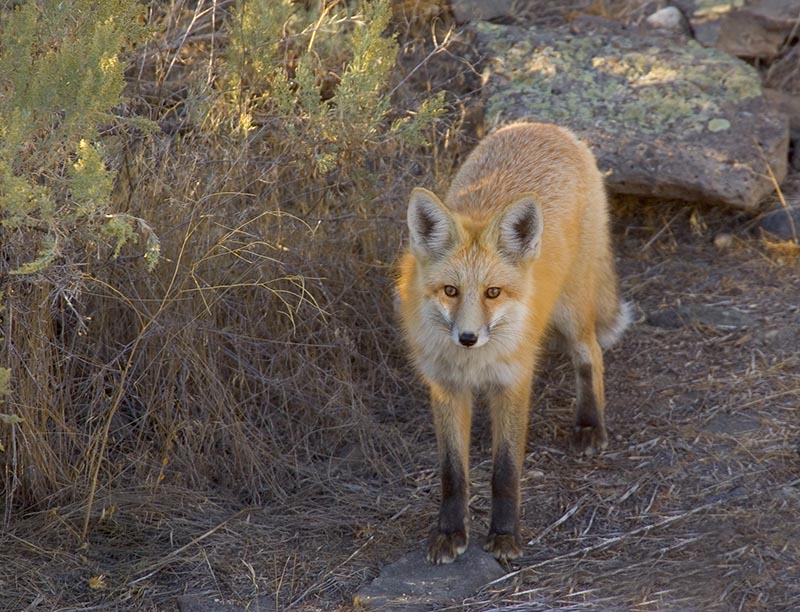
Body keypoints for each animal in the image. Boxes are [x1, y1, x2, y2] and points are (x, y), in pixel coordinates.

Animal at [395, 122, 631, 565]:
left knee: (591, 355)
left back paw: (590, 424)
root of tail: (550, 127)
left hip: (572, 313)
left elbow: (505, 473)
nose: (467, 337)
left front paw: (505, 536)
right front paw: (450, 532)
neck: (473, 365)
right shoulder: (446, 388)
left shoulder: (513, 382)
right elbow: (453, 474)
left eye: (493, 292)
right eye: (450, 291)